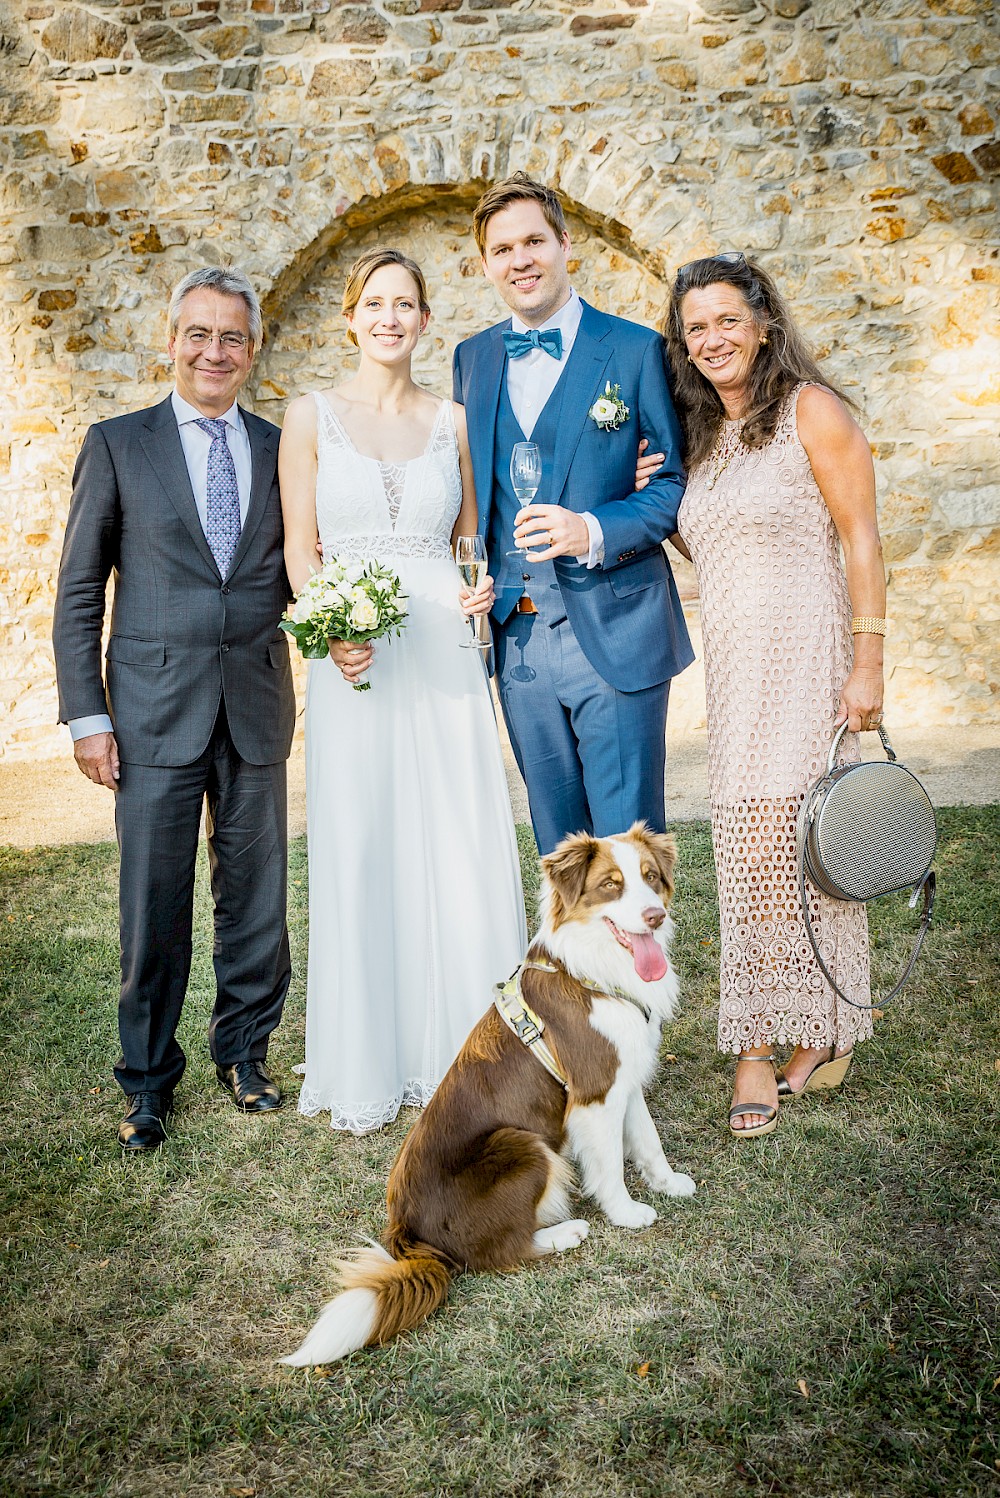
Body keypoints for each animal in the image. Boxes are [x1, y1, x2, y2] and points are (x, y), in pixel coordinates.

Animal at [276, 826, 691, 1366]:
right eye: (610, 886)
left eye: (650, 877)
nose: (654, 915)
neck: (593, 972)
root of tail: (409, 1234)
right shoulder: (595, 1094)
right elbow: (608, 1167)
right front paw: (626, 1214)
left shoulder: (624, 1074)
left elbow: (648, 1141)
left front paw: (668, 1184)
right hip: (522, 1144)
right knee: (498, 1253)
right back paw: (565, 1233)